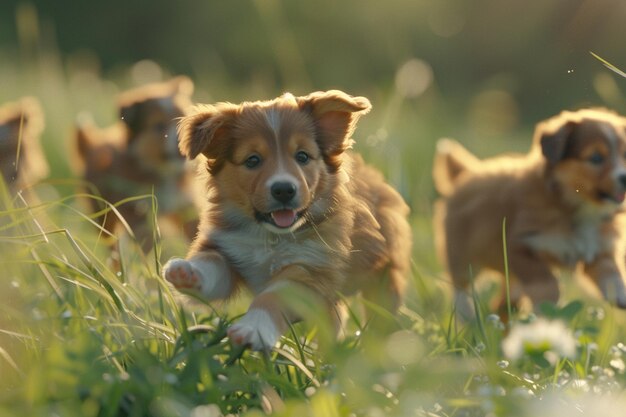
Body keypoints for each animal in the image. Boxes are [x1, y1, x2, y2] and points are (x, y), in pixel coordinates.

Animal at [75, 75, 197, 250]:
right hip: (103, 212)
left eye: (184, 118)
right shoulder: (138, 213)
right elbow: (147, 241)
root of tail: (93, 147)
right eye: (158, 125)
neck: (163, 172)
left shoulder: (185, 205)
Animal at [163, 89, 412, 350]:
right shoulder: (229, 248)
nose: (283, 190)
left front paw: (253, 329)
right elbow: (212, 264)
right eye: (252, 160)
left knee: (381, 314)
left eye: (302, 156)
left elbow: (272, 297)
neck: (271, 236)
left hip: (385, 276)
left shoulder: (309, 270)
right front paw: (187, 273)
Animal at [432, 107, 624, 316]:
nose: (624, 177)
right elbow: (546, 282)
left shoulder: (600, 251)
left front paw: (621, 297)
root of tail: (466, 174)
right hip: (462, 254)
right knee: (459, 286)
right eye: (596, 158)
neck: (577, 207)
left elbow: (611, 275)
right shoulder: (520, 245)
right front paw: (546, 307)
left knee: (503, 302)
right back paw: (468, 314)